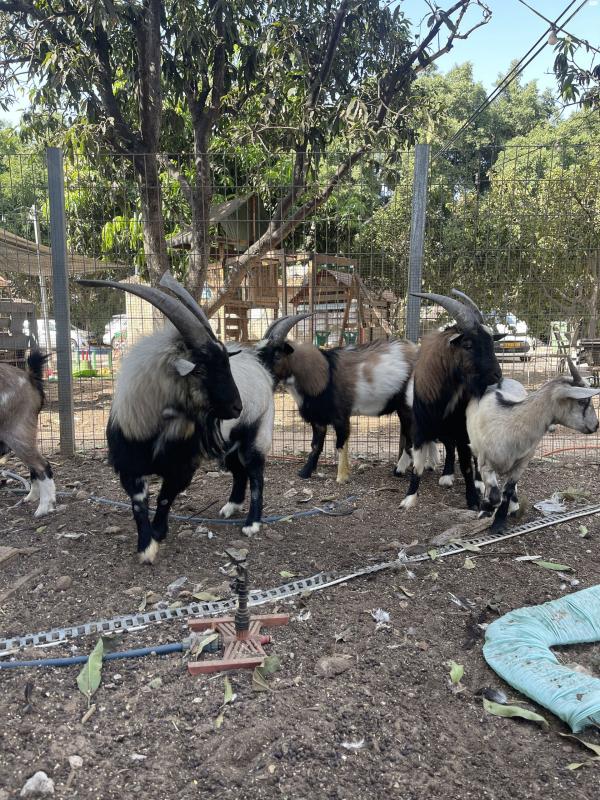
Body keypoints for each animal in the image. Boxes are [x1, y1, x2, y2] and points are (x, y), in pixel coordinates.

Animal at [0, 350, 56, 517]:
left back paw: (42, 509)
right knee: (34, 466)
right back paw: (32, 497)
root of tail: (29, 377)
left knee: (41, 465)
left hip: (16, 432)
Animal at [78, 276, 243, 563]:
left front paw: (158, 531)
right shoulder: (128, 467)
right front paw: (146, 546)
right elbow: (138, 503)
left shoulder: (183, 467)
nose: (237, 407)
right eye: (201, 369)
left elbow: (165, 498)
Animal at [258, 330, 418, 483]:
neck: (325, 374)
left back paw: (401, 470)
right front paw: (305, 472)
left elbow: (340, 443)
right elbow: (316, 445)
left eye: (277, 355)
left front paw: (342, 477)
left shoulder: (341, 415)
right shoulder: (318, 418)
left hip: (408, 408)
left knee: (412, 439)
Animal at [400, 289, 503, 511]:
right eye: (468, 344)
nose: (497, 375)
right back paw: (447, 475)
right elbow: (418, 464)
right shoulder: (420, 428)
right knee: (448, 446)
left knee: (473, 454)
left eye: (491, 342)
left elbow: (466, 466)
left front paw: (473, 500)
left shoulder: (461, 430)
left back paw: (479, 482)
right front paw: (409, 498)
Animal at [467, 357, 600, 529]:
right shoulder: (486, 464)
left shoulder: (522, 463)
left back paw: (514, 505)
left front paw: (500, 523)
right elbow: (495, 496)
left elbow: (507, 491)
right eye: (582, 401)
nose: (596, 425)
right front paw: (486, 510)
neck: (511, 422)